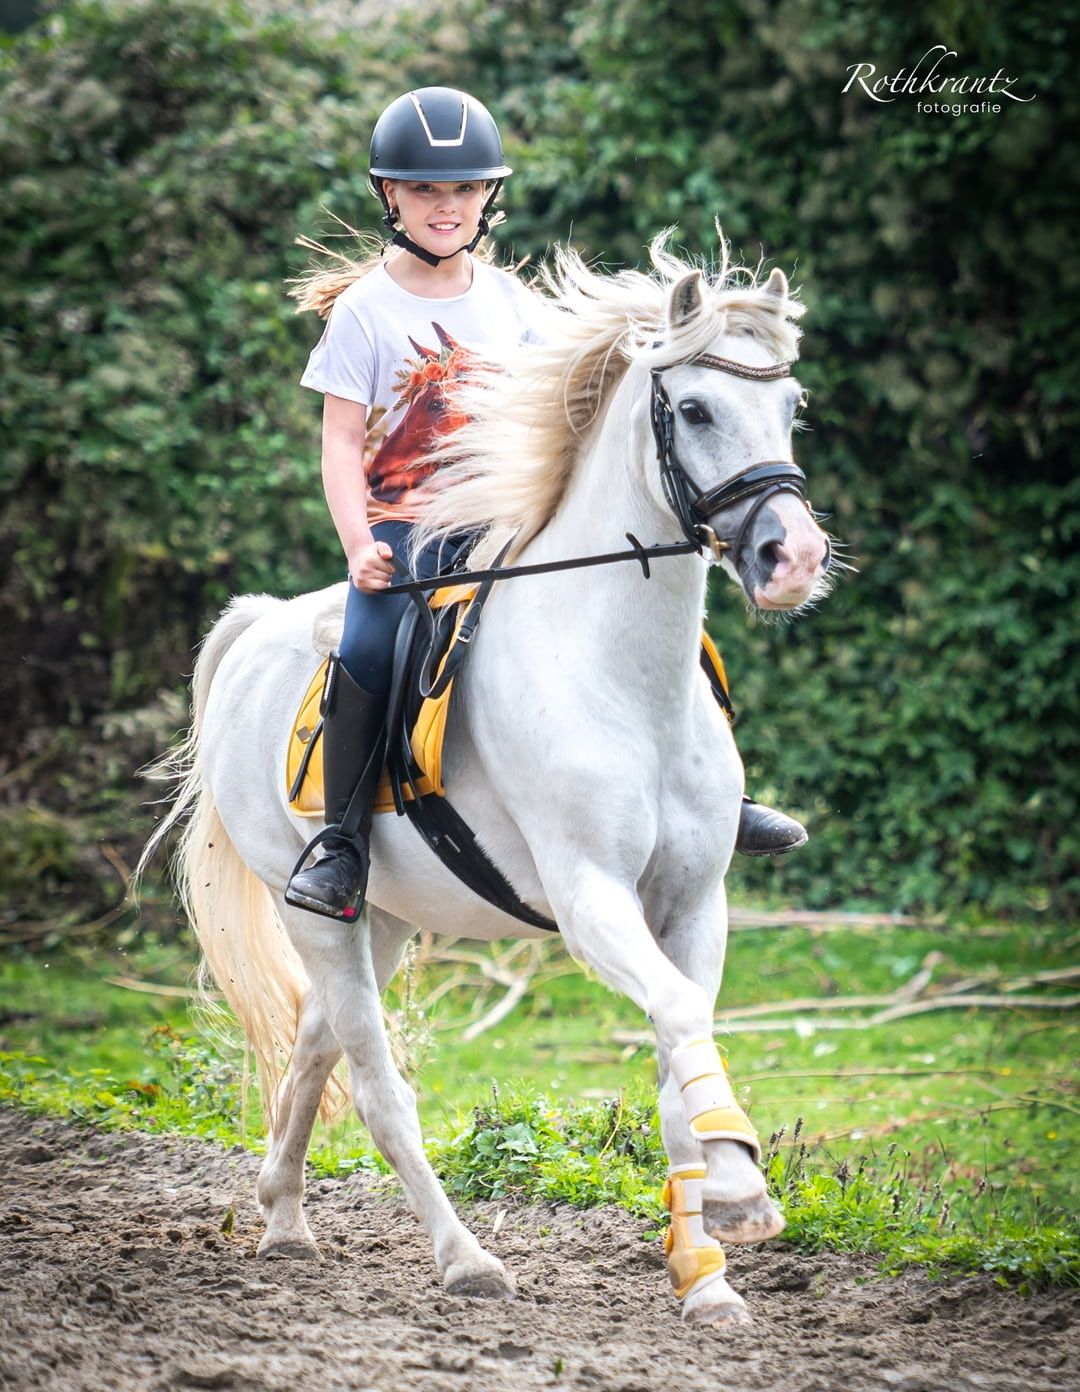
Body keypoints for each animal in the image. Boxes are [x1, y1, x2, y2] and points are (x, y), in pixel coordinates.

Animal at [141, 234, 835, 1325]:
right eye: (692, 409)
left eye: (792, 404)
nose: (793, 556)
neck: (618, 674)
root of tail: (253, 630)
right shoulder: (591, 899)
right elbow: (682, 1019)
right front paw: (740, 1191)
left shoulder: (693, 901)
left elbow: (679, 1059)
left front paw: (706, 1277)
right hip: (317, 911)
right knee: (377, 1086)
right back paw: (463, 1258)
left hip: (381, 917)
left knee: (314, 1045)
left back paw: (284, 1219)